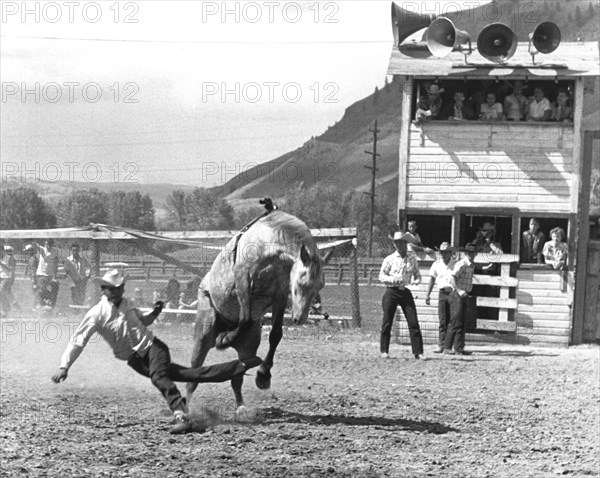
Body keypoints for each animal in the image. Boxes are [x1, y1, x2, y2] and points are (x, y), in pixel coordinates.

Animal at [186, 202, 324, 410]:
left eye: (319, 287)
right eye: (302, 283)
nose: (300, 319)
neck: (271, 244)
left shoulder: (279, 294)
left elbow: (275, 335)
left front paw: (263, 375)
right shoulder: (242, 277)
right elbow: (244, 317)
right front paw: (224, 339)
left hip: (249, 343)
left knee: (237, 376)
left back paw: (242, 403)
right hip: (203, 334)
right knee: (193, 375)